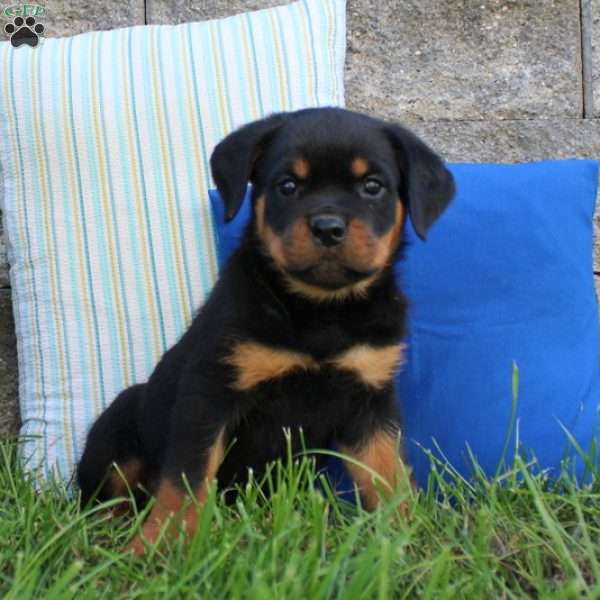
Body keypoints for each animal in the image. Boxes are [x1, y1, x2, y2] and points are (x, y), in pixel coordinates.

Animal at [76, 106, 454, 552]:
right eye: (287, 185)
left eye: (373, 186)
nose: (327, 227)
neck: (320, 309)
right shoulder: (211, 391)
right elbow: (185, 478)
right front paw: (163, 542)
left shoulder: (371, 399)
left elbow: (388, 475)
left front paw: (408, 538)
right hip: (119, 421)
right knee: (107, 497)